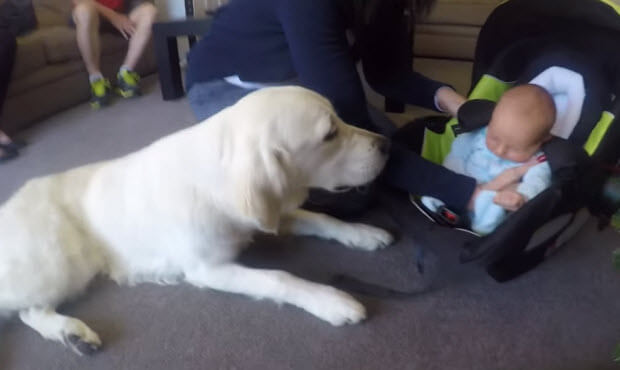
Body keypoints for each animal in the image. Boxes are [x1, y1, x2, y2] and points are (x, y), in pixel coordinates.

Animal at [0, 86, 392, 356]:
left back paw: (71, 334)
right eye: (330, 135)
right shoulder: (208, 269)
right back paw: (70, 330)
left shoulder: (268, 212)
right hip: (58, 263)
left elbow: (322, 219)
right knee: (25, 308)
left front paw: (363, 233)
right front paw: (331, 301)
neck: (215, 182)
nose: (386, 144)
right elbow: (279, 278)